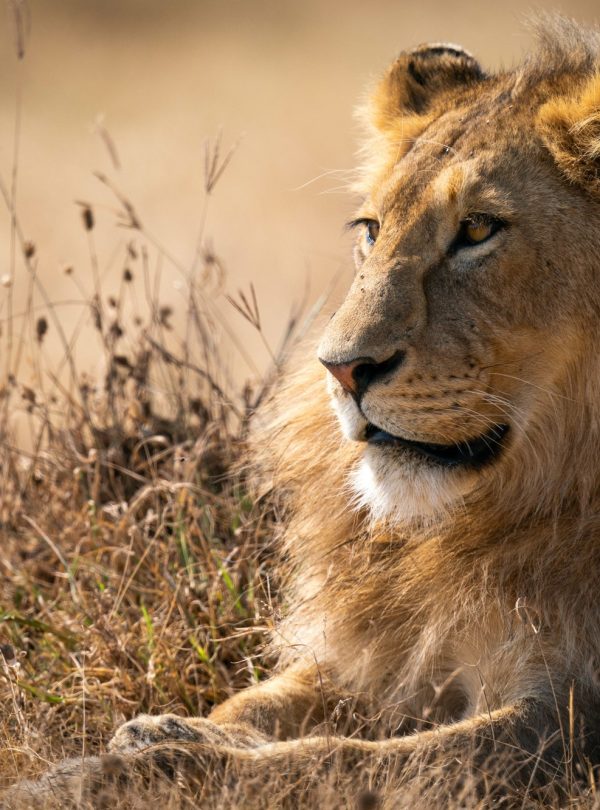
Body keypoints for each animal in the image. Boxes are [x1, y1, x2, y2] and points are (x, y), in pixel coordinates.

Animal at [10, 13, 600, 808]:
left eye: (479, 229)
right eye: (372, 230)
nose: (341, 369)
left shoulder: (562, 727)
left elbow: (344, 761)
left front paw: (110, 776)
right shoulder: (389, 655)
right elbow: (263, 702)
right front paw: (165, 729)